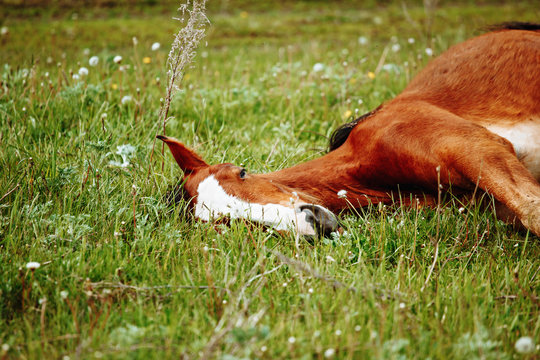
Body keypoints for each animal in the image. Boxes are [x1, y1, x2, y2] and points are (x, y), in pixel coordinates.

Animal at [156, 22, 540, 236]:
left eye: (242, 172)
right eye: (226, 223)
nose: (312, 221)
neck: (365, 162)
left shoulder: (481, 151)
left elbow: (532, 213)